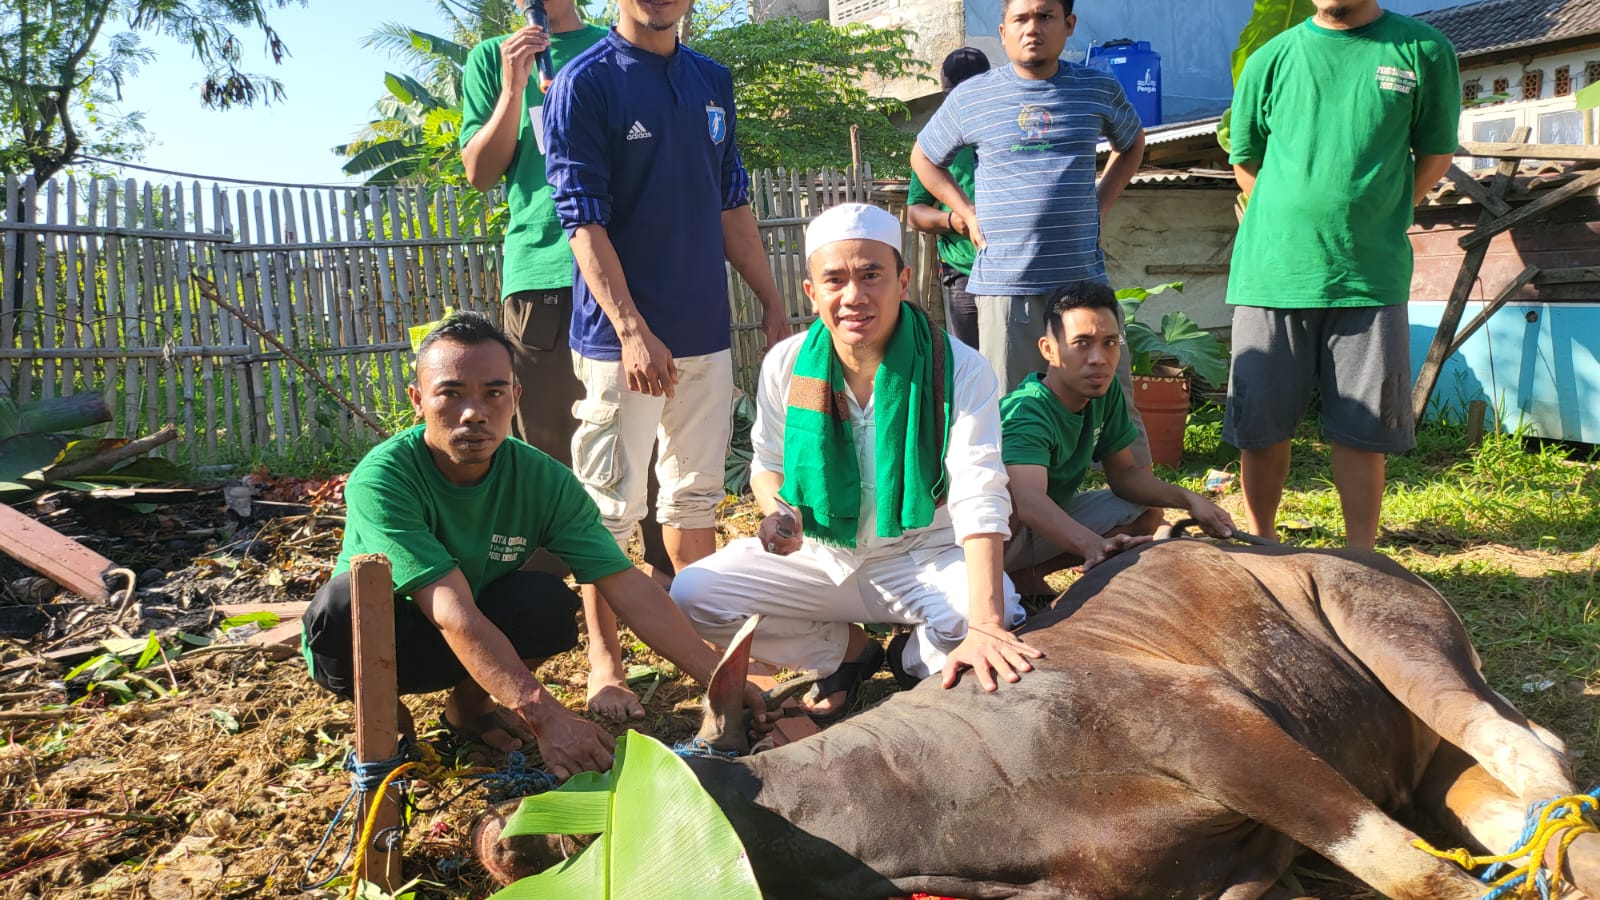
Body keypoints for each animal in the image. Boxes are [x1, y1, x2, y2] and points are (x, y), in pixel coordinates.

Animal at [476, 534, 1600, 890]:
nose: (509, 839)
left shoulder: (1220, 733)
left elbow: (1414, 877)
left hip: (1395, 636)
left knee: (1529, 748)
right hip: (1427, 765)